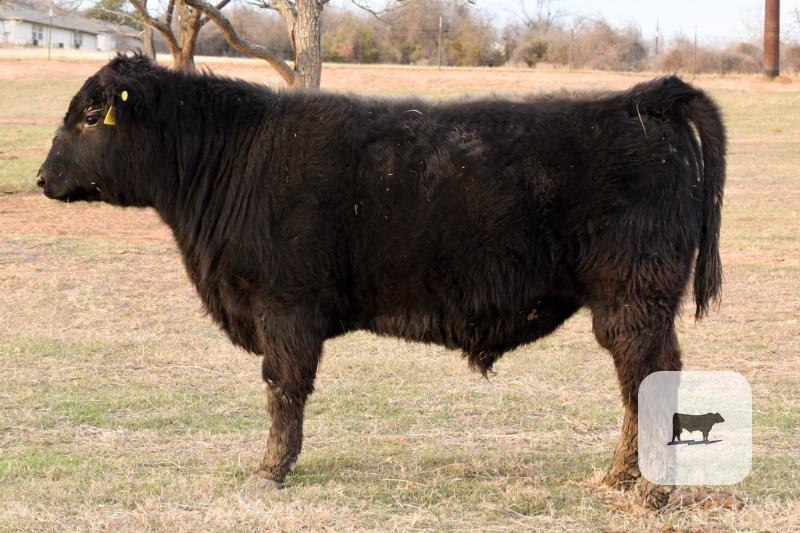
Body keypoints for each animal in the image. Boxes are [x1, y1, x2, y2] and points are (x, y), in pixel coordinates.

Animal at [37, 54, 725, 508]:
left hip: (632, 300)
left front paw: (270, 470)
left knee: (645, 379)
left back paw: (640, 488)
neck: (235, 158)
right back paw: (621, 479)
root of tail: (643, 100)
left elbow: (282, 390)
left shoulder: (284, 308)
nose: (42, 177)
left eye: (91, 113)